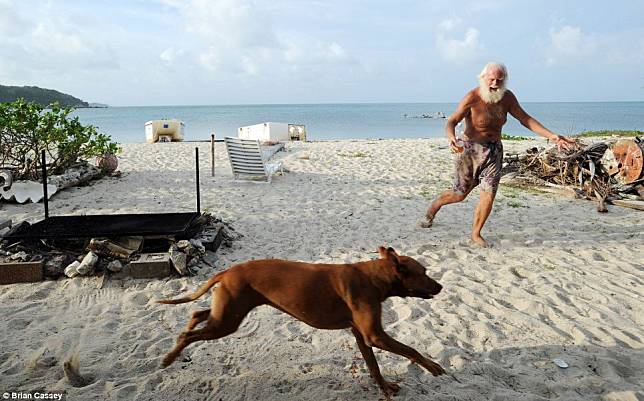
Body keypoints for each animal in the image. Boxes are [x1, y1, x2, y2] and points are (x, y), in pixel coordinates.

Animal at [158, 247, 446, 396]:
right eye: (424, 272)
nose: (441, 286)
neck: (375, 277)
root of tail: (228, 270)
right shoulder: (374, 335)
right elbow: (411, 349)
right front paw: (432, 366)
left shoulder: (361, 335)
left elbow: (374, 366)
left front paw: (384, 388)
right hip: (228, 321)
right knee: (188, 335)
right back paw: (169, 358)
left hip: (227, 312)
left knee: (197, 314)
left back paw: (186, 330)